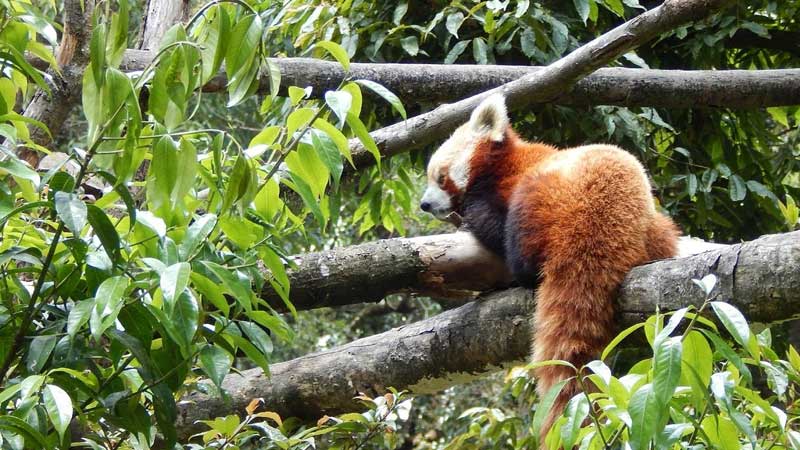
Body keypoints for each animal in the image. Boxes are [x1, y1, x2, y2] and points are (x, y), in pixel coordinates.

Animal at [422, 94, 680, 446]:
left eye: (440, 177)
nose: (425, 204)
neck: (498, 164)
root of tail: (600, 218)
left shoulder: (503, 186)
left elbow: (487, 220)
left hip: (541, 199)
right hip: (655, 227)